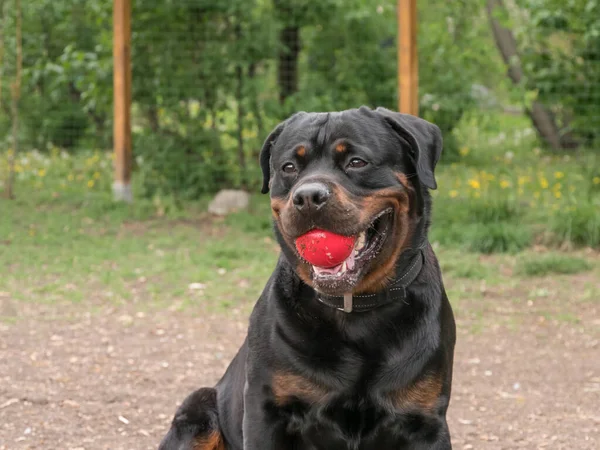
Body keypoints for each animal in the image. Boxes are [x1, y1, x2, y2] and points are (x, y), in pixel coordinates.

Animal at [158, 107, 454, 448]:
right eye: (289, 167)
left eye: (356, 162)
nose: (308, 196)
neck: (356, 312)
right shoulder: (265, 412)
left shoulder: (424, 420)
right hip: (199, 410)